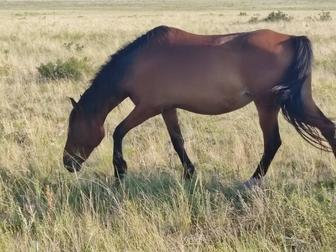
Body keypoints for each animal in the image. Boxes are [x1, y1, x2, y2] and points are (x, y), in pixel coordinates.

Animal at [63, 25, 336, 187]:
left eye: (73, 128)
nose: (67, 163)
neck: (137, 63)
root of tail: (292, 39)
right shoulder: (167, 108)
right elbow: (177, 141)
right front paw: (189, 174)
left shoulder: (147, 108)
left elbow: (118, 131)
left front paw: (120, 172)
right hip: (301, 100)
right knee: (328, 128)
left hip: (266, 104)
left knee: (272, 142)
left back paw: (251, 181)